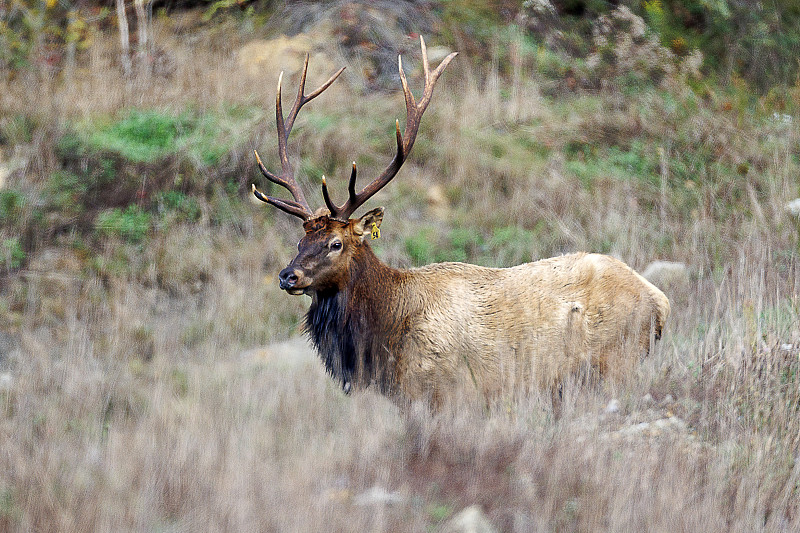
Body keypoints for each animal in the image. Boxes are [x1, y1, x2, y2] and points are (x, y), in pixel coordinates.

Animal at [252, 37, 668, 404]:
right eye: (299, 242)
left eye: (335, 243)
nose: (287, 276)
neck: (385, 331)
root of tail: (659, 302)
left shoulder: (442, 390)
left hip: (616, 363)